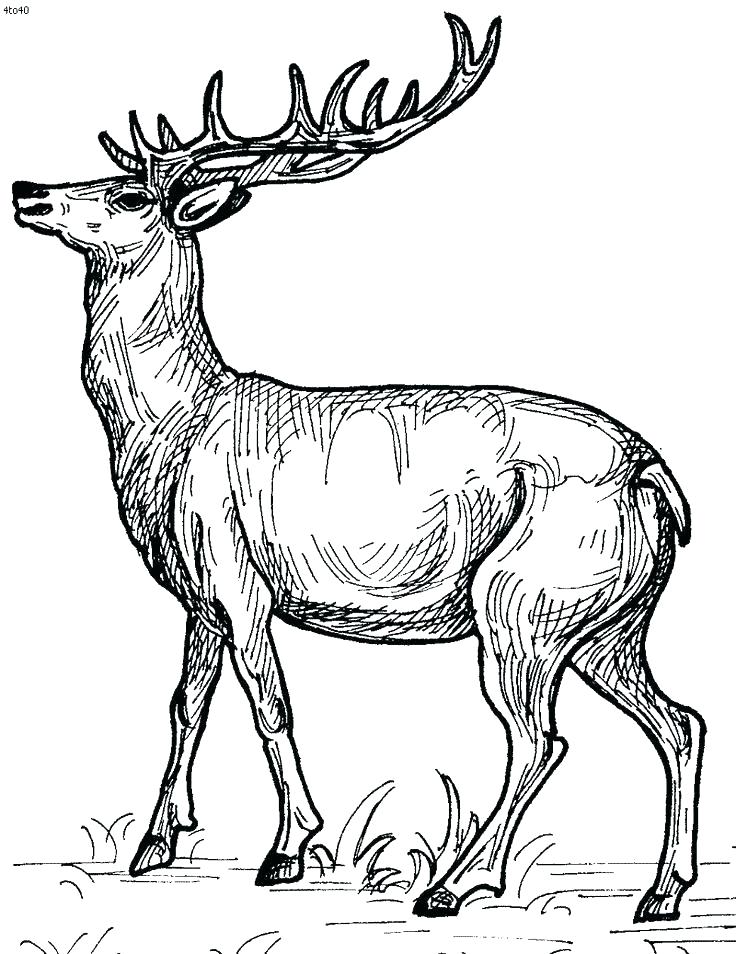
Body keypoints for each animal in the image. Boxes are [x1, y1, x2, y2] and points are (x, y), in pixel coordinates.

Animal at [12, 12, 704, 921]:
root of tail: (651, 477)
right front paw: (154, 846)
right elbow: (184, 705)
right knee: (679, 719)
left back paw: (453, 886)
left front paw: (291, 849)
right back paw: (659, 893)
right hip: (608, 621)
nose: (25, 190)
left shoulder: (241, 573)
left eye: (129, 194)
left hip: (521, 599)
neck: (173, 425)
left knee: (539, 736)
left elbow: (270, 704)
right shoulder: (196, 594)